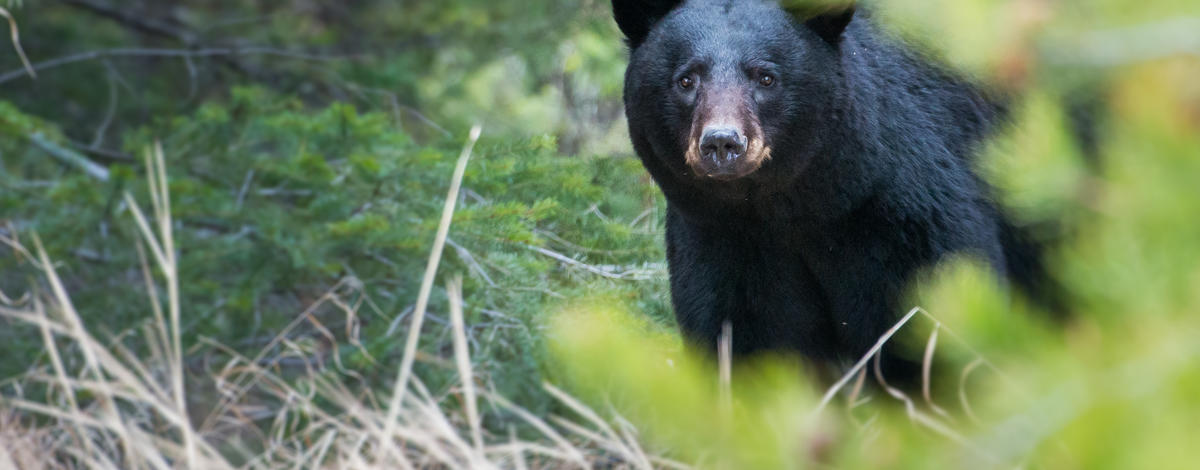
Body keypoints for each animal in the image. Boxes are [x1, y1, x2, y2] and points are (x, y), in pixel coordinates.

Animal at [612, 0, 1043, 380]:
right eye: (686, 79)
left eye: (765, 77)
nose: (722, 142)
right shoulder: (723, 239)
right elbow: (749, 336)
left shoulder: (903, 214)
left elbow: (924, 323)